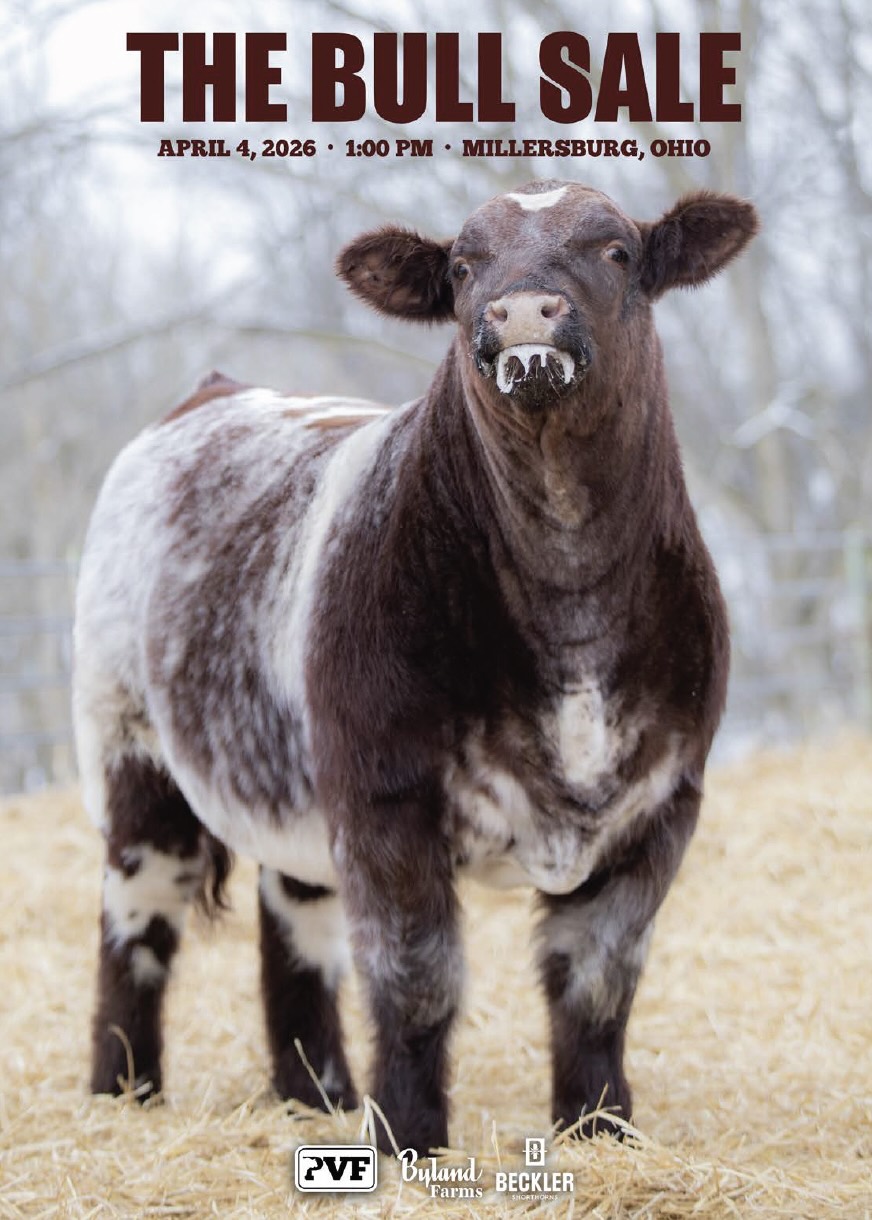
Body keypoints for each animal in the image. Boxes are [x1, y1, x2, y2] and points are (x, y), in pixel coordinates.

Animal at [73, 180, 758, 1156]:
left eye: (617, 249)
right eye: (464, 267)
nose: (521, 313)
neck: (572, 596)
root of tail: (217, 391)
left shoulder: (662, 802)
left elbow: (596, 982)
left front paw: (599, 1126)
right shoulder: (386, 793)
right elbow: (417, 978)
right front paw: (408, 1133)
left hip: (292, 783)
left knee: (295, 927)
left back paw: (314, 1093)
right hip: (130, 753)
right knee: (136, 919)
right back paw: (124, 1089)